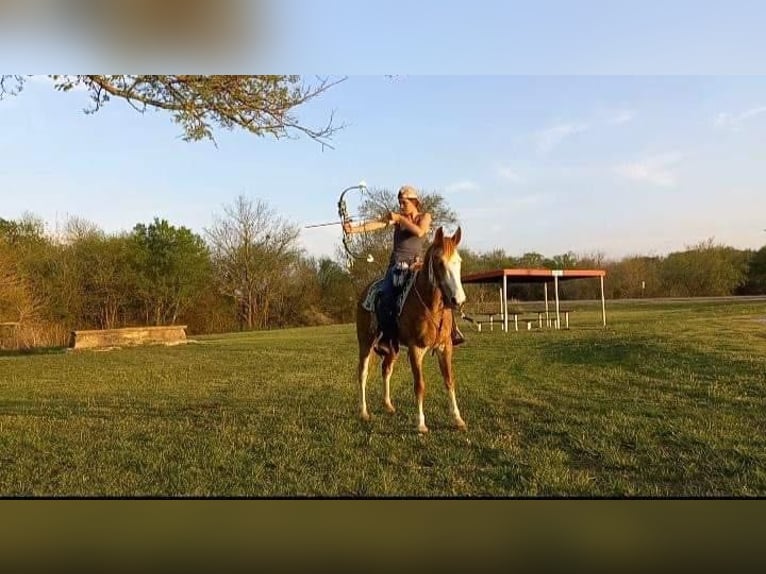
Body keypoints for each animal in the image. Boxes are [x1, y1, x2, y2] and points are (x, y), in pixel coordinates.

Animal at [354, 227, 468, 434]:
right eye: (440, 263)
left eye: (459, 261)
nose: (458, 300)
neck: (431, 306)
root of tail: (365, 292)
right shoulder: (416, 350)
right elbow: (419, 385)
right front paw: (421, 423)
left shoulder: (445, 347)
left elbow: (449, 381)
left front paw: (457, 419)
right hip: (365, 342)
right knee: (363, 373)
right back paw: (364, 412)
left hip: (392, 347)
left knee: (386, 370)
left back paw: (388, 405)